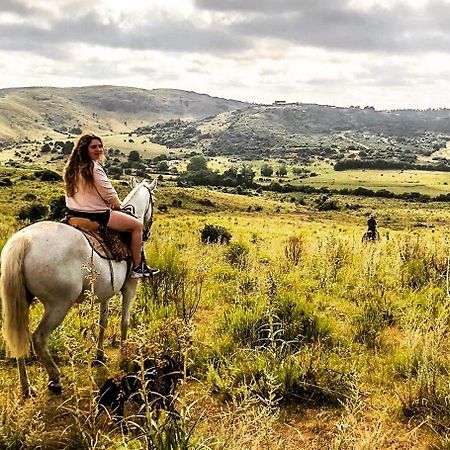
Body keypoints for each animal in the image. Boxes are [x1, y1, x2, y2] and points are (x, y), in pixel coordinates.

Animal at [0, 178, 157, 396]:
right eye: (153, 200)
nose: (147, 231)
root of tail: (23, 241)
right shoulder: (130, 286)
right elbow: (124, 322)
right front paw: (125, 354)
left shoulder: (105, 293)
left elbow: (102, 322)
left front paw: (100, 355)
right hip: (58, 305)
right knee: (39, 338)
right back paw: (55, 379)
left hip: (21, 300)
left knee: (20, 337)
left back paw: (26, 386)